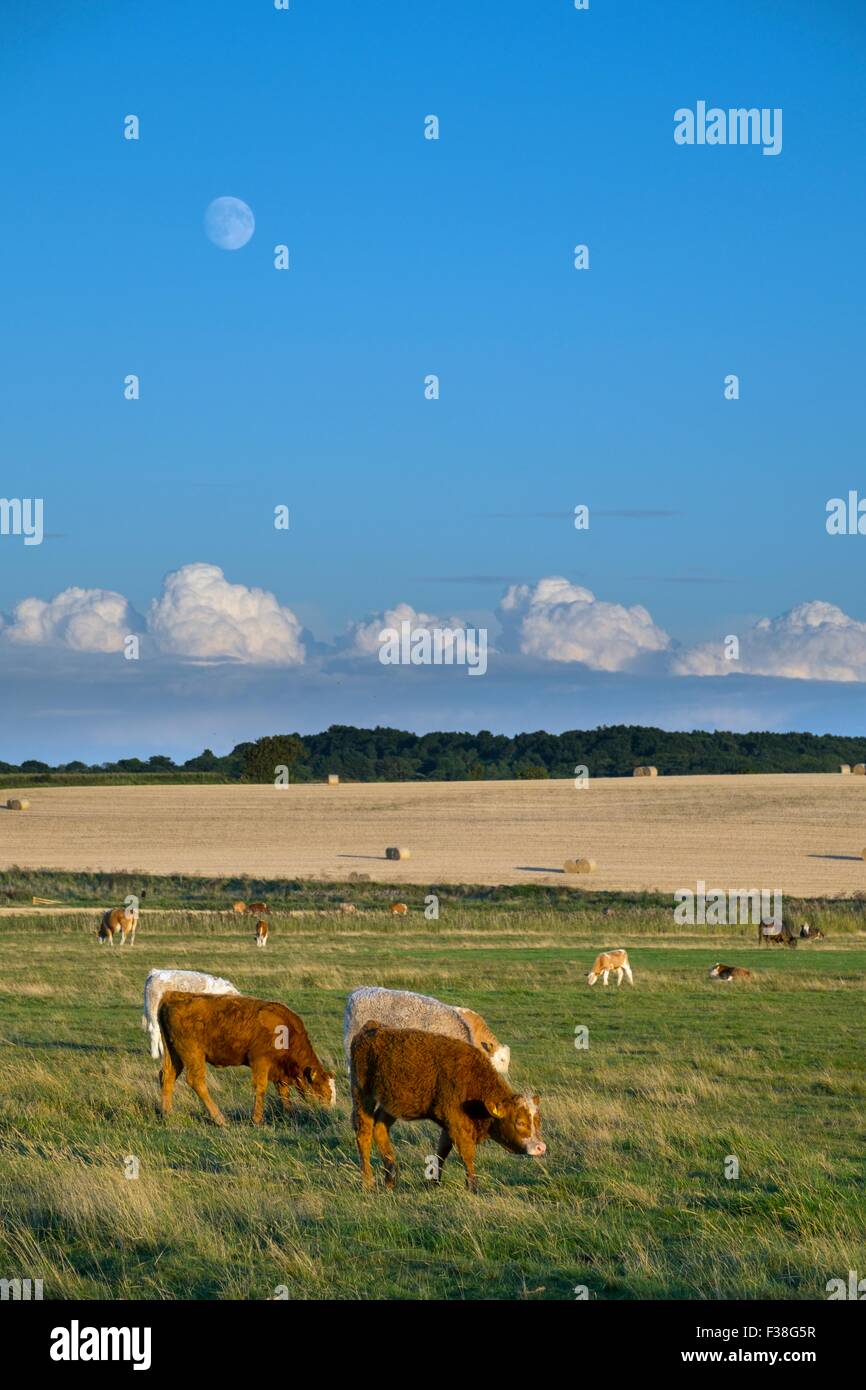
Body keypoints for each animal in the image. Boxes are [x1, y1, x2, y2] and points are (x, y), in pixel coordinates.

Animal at [156, 992, 336, 1126]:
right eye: (323, 1091)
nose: (329, 1111)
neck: (286, 1031)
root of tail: (174, 997)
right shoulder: (260, 1062)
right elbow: (261, 1088)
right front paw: (256, 1119)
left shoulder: (279, 1070)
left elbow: (283, 1091)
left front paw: (289, 1113)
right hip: (194, 1055)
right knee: (196, 1081)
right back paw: (220, 1119)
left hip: (174, 1055)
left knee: (167, 1077)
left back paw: (167, 1114)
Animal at [349, 1022, 544, 1193]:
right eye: (520, 1122)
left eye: (537, 1121)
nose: (541, 1147)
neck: (473, 1079)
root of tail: (371, 1028)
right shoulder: (456, 1122)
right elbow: (467, 1154)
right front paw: (473, 1187)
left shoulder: (449, 1123)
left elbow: (442, 1150)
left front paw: (434, 1181)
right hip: (362, 1094)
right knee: (364, 1133)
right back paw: (367, 1182)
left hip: (391, 1103)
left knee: (380, 1128)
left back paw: (390, 1179)